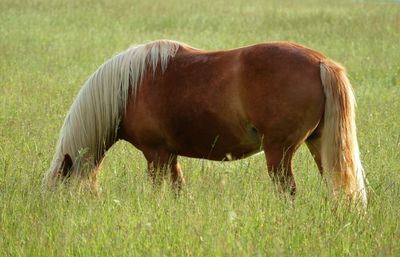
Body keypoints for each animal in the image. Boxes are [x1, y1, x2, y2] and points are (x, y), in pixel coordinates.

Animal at [43, 38, 366, 206]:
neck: (127, 88)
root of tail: (321, 62)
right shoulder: (169, 155)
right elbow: (178, 190)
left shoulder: (155, 155)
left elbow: (158, 190)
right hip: (318, 144)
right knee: (334, 185)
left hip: (279, 152)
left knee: (287, 190)